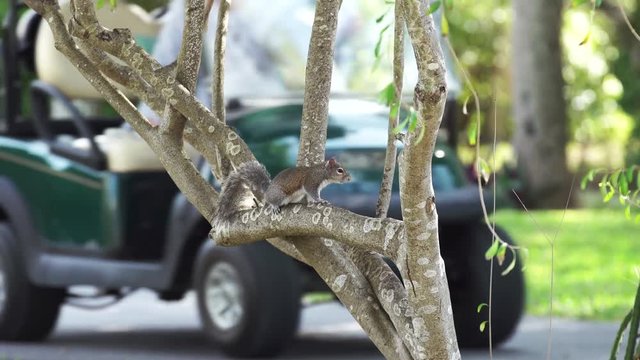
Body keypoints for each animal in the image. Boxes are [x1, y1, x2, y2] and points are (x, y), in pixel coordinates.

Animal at [216, 158, 356, 224]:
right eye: (340, 170)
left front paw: (314, 202)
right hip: (279, 195)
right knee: (272, 201)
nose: (349, 178)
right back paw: (274, 206)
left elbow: (311, 197)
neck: (322, 172)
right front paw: (321, 201)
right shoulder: (311, 182)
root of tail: (267, 192)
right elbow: (313, 193)